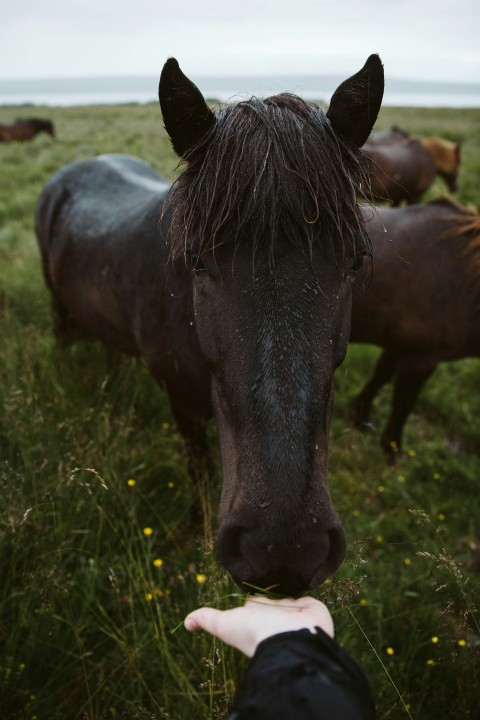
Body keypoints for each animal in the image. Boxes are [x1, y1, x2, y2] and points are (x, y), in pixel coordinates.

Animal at [35, 55, 384, 596]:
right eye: (197, 261)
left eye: (355, 262)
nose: (283, 550)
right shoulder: (180, 403)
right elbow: (199, 470)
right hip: (57, 306)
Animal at [350, 198, 480, 462]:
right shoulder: (421, 358)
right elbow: (403, 403)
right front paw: (392, 448)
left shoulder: (399, 345)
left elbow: (380, 375)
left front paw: (360, 416)